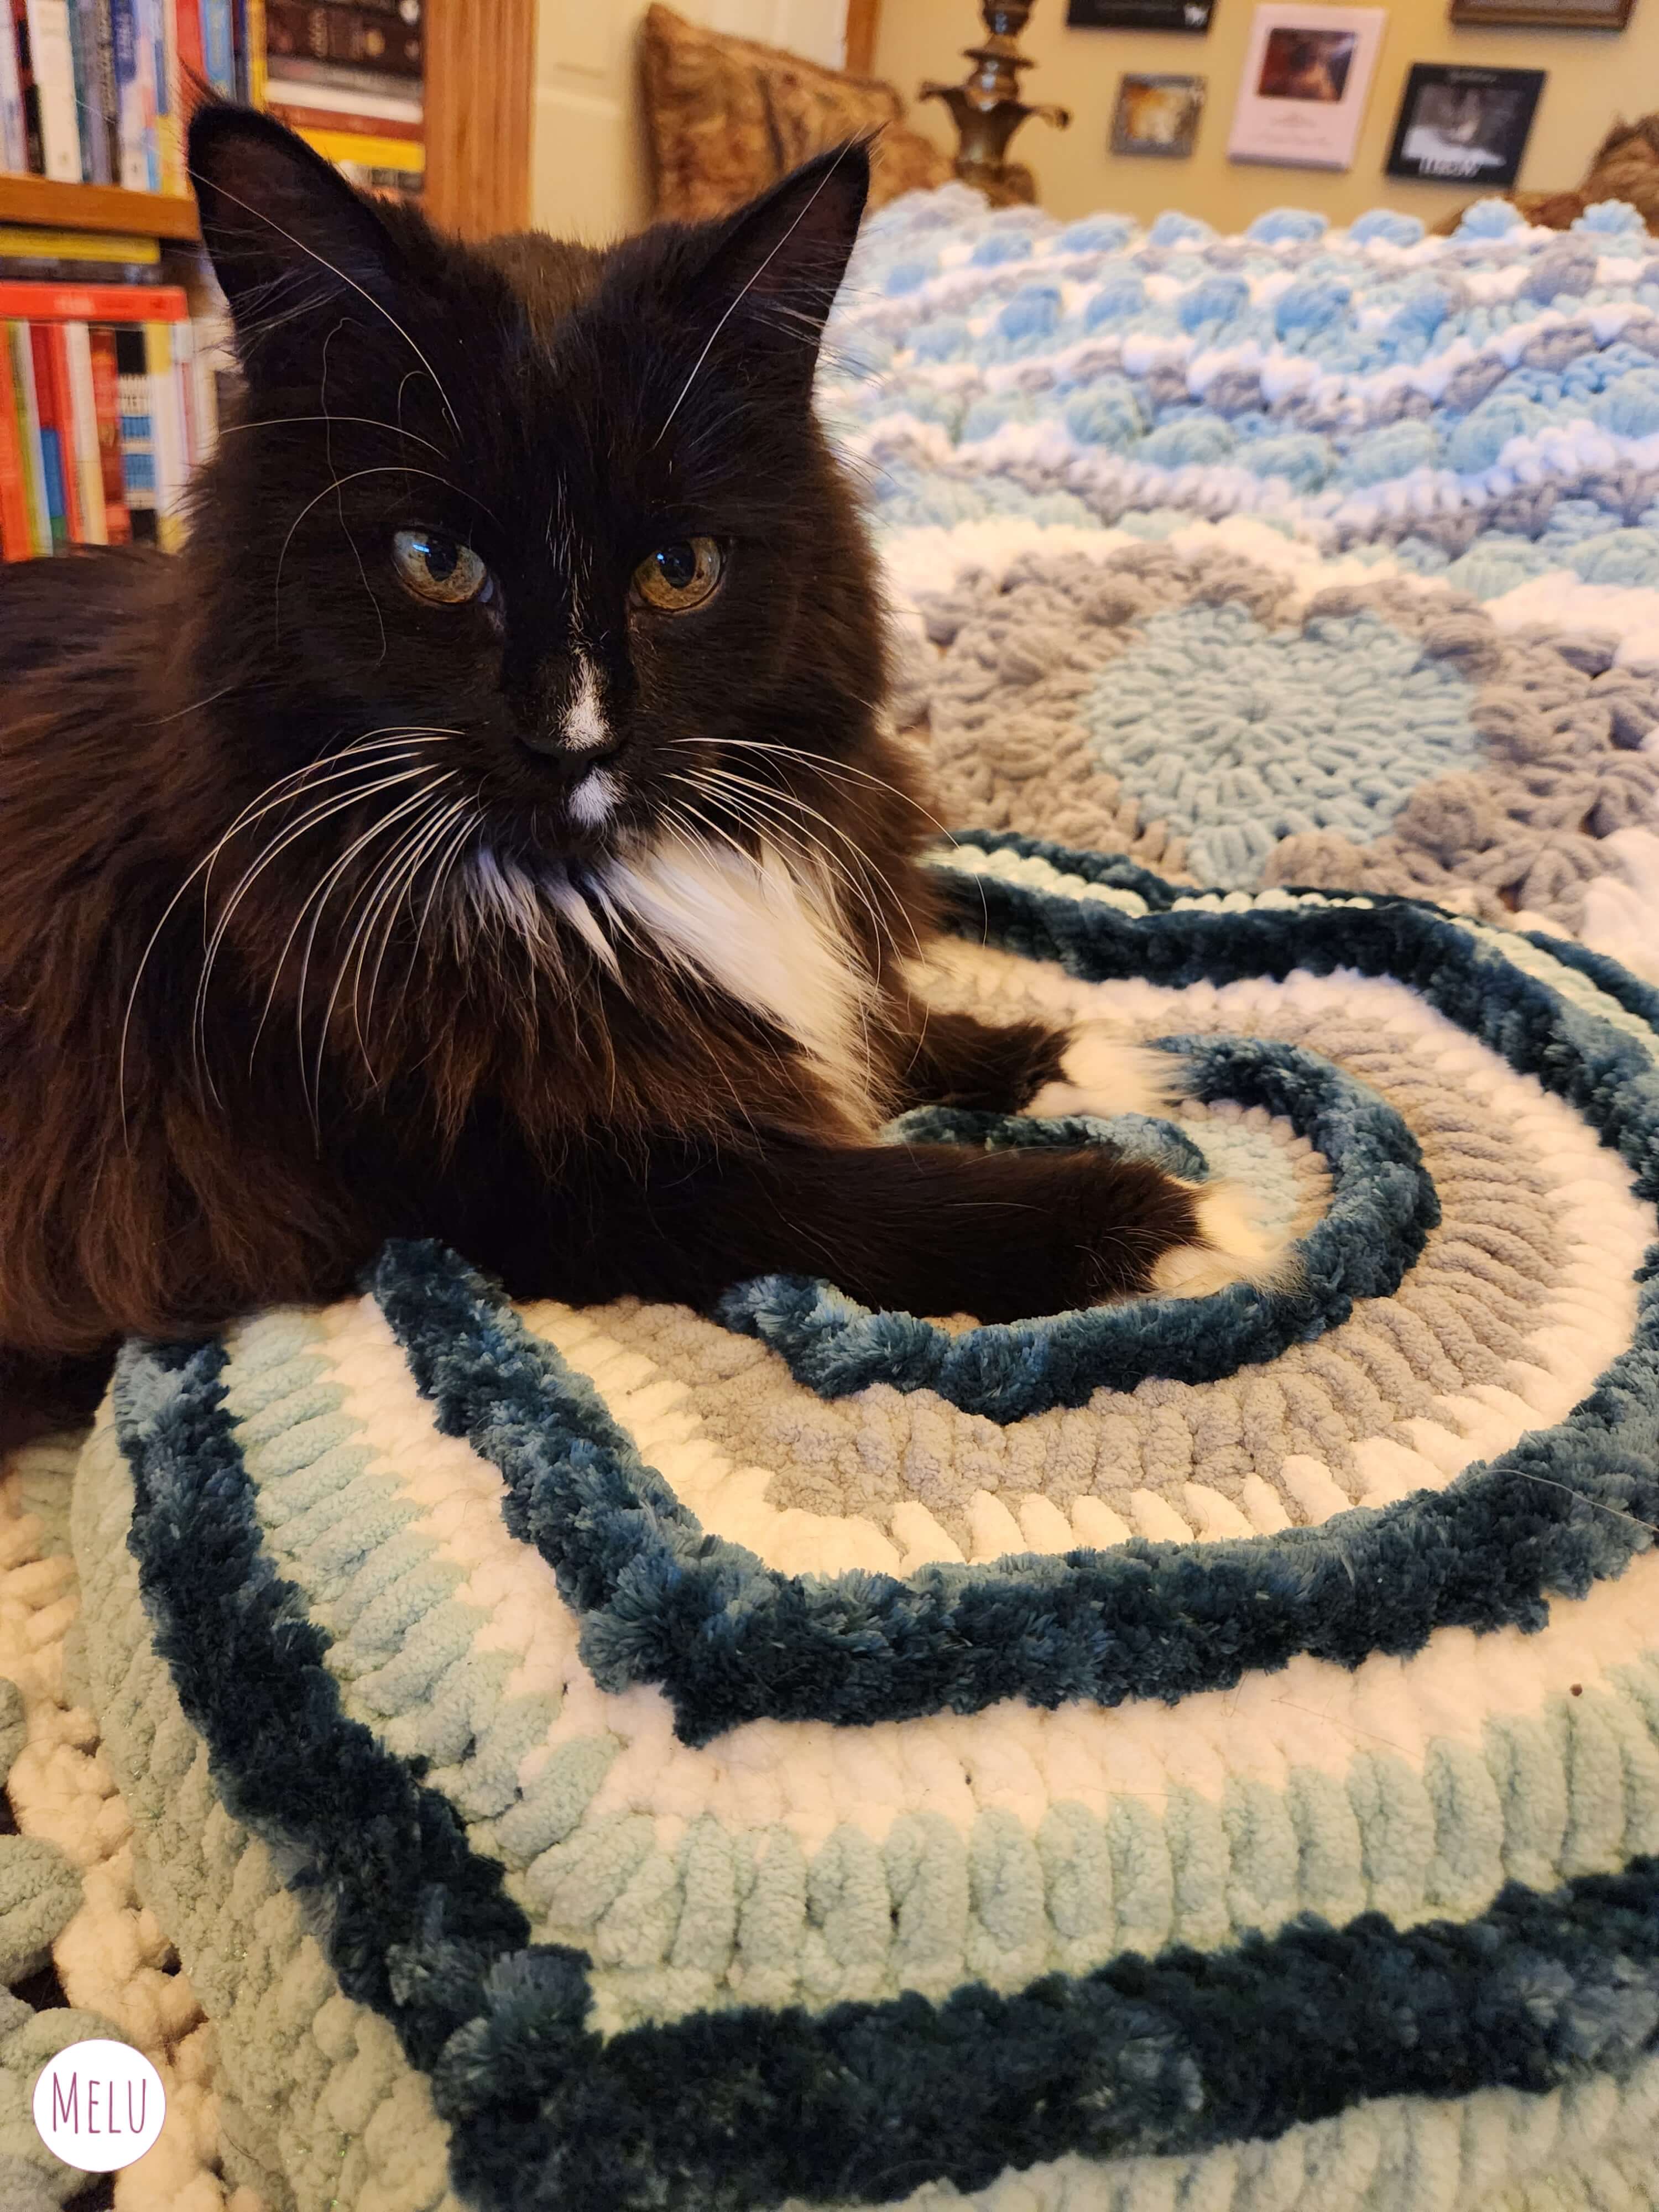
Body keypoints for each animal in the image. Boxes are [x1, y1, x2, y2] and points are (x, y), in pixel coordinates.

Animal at [0, 105, 1265, 1453]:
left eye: (678, 570)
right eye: (433, 560)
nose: (580, 741)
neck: (594, 888)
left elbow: (889, 1025)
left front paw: (1102, 1059)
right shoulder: (538, 1176)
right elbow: (866, 1192)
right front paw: (1178, 1222)